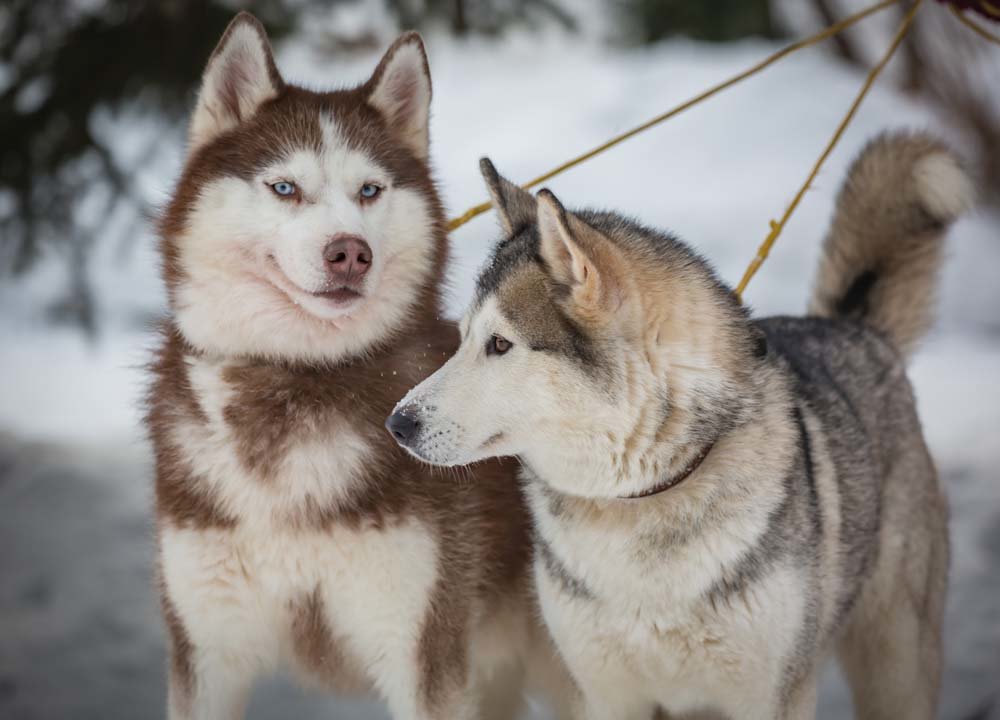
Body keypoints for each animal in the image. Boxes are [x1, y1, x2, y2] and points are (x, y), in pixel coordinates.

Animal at [146, 12, 572, 720]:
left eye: (370, 190)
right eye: (284, 188)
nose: (350, 252)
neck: (296, 384)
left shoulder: (422, 649)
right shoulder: (206, 649)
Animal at [384, 132, 968, 716]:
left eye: (500, 344)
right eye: (461, 338)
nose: (398, 423)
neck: (639, 498)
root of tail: (853, 327)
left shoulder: (769, 696)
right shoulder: (603, 693)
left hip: (898, 667)